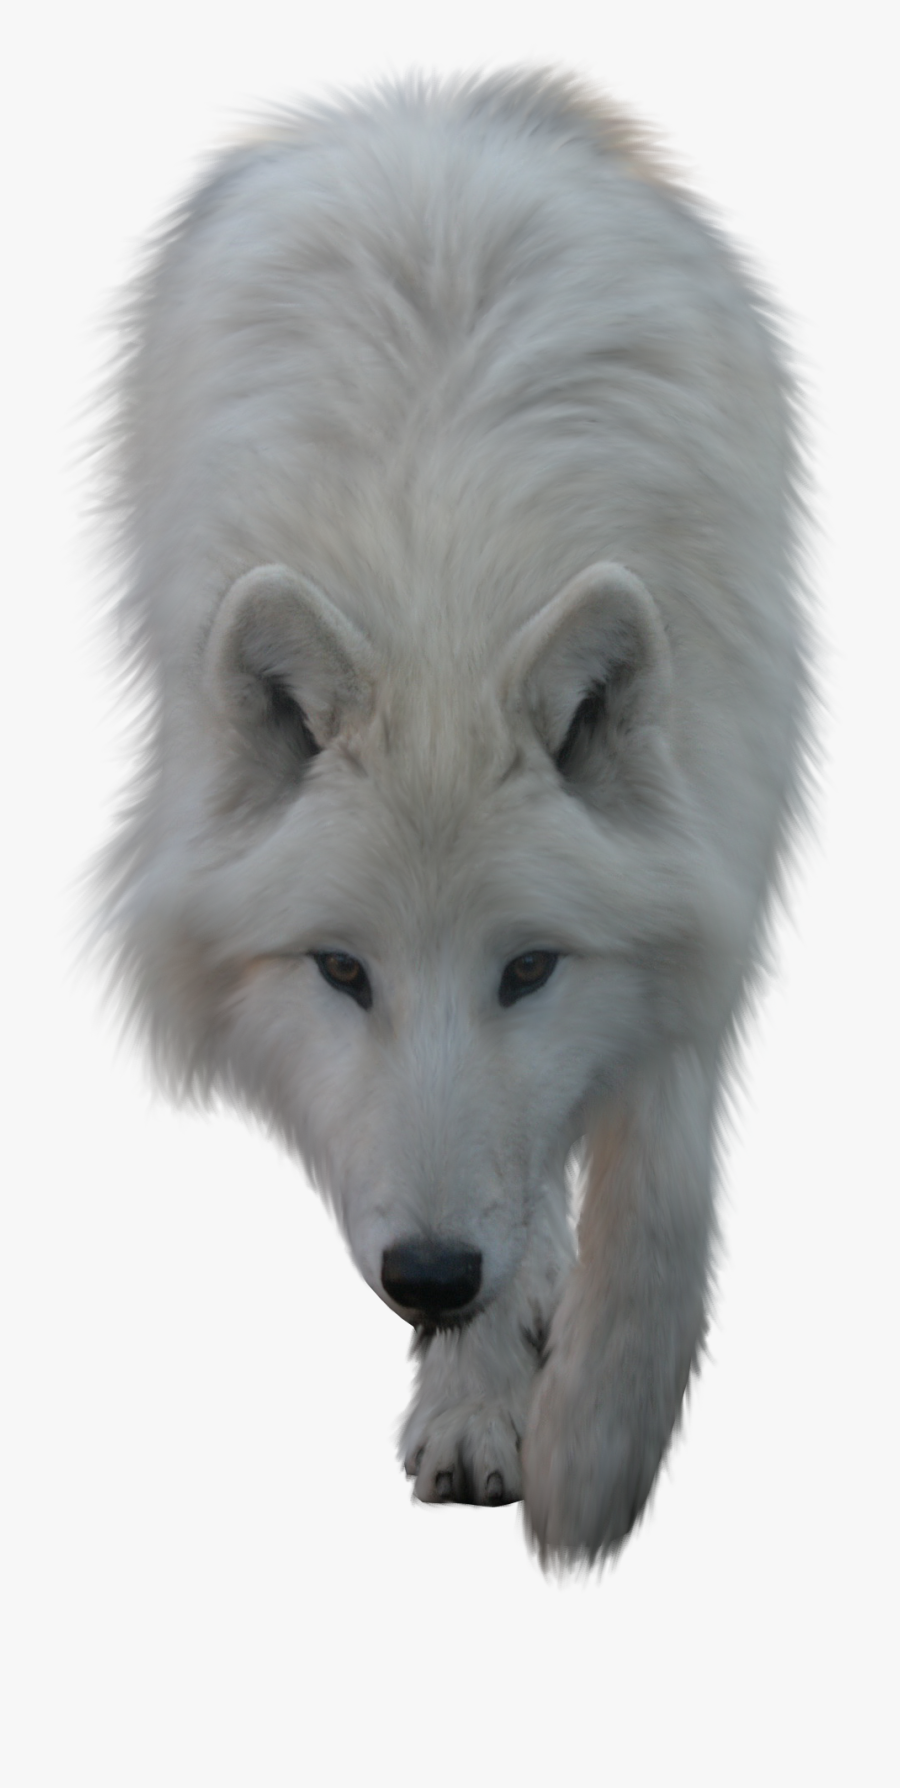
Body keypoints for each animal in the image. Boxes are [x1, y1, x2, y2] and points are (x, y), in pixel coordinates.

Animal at [99, 72, 807, 1562]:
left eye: (529, 967)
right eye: (340, 970)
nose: (429, 1278)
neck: (446, 594)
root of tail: (427, 107)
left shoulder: (709, 873)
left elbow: (655, 1188)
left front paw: (594, 1459)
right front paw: (483, 1394)